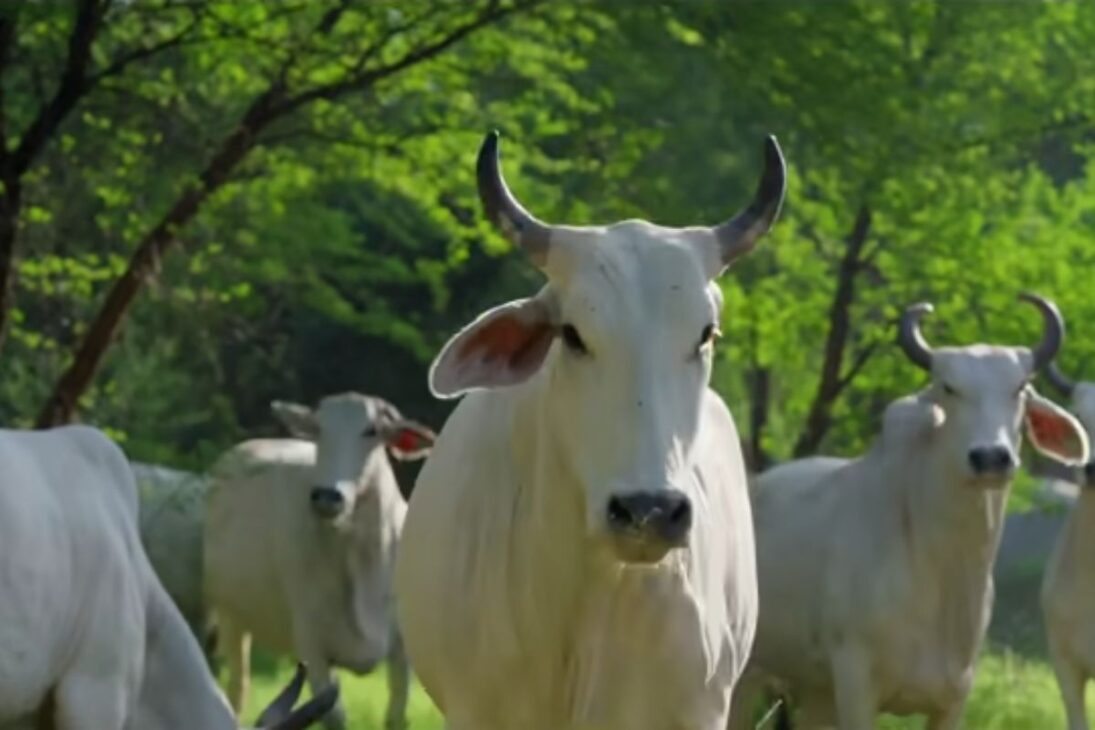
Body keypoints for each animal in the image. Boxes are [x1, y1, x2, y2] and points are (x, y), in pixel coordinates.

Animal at [204, 393, 435, 730]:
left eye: (372, 431)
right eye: (318, 430)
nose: (327, 495)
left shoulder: (401, 648)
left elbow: (396, 715)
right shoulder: (312, 645)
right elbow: (333, 716)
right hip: (231, 615)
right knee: (237, 687)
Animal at [727, 294, 1090, 730]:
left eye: (1019, 388)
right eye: (949, 388)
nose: (991, 458)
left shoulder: (952, 698)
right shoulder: (857, 685)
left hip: (816, 692)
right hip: (744, 677)